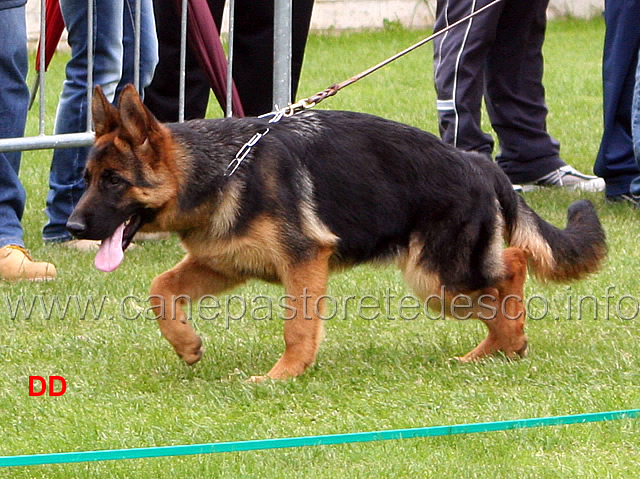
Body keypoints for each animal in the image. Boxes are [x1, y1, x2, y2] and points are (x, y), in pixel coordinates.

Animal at [67, 85, 608, 382]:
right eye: (87, 178)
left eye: (113, 181)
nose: (72, 227)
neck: (221, 169)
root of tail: (480, 163)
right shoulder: (224, 264)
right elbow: (160, 288)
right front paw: (186, 344)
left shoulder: (304, 261)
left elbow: (297, 327)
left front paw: (282, 376)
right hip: (441, 281)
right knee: (503, 281)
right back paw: (490, 351)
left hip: (438, 278)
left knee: (512, 268)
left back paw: (509, 341)